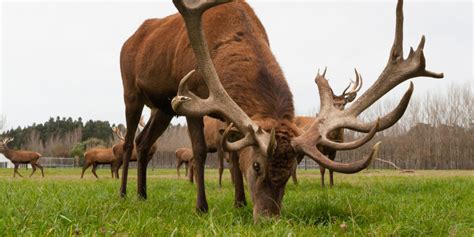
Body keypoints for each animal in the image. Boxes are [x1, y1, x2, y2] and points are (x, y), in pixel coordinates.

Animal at [118, 0, 440, 220]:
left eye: (290, 172)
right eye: (258, 166)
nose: (268, 218)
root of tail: (130, 38)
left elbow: (233, 157)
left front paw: (239, 203)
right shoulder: (191, 99)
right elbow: (199, 152)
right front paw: (202, 208)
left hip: (162, 108)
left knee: (144, 143)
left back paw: (142, 194)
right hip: (132, 92)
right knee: (129, 141)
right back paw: (123, 194)